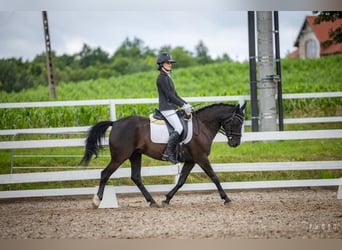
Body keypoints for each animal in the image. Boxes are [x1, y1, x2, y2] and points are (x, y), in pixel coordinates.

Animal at [80, 102, 246, 208]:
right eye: (237, 123)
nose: (235, 143)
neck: (202, 126)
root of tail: (115, 123)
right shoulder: (201, 158)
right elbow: (214, 177)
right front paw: (226, 198)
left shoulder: (191, 160)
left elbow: (181, 181)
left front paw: (166, 199)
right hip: (120, 156)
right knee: (105, 173)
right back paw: (97, 201)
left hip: (135, 155)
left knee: (136, 177)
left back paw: (152, 201)